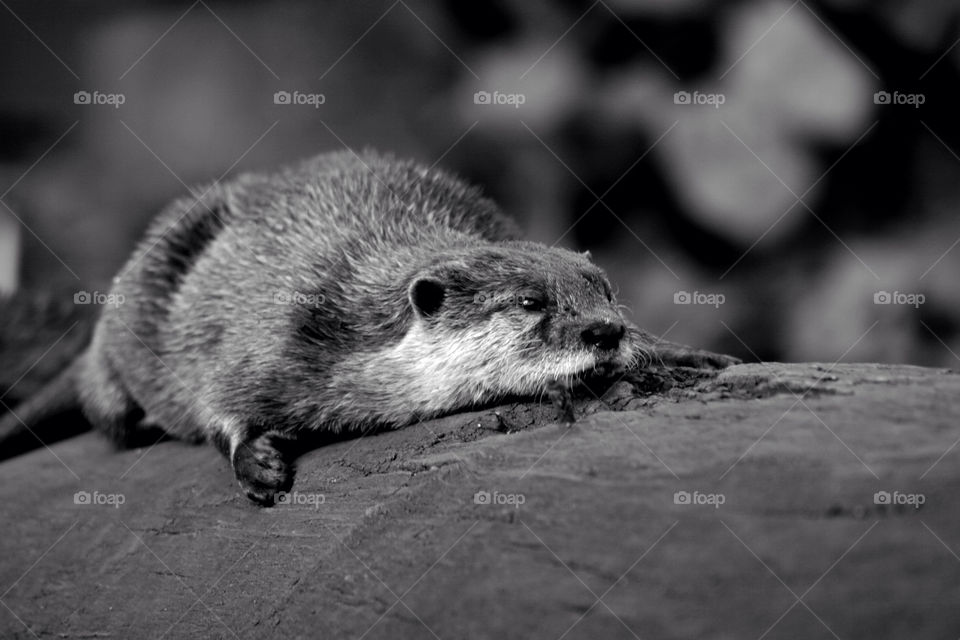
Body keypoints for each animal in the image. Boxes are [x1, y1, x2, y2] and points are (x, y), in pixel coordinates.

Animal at [0, 151, 736, 504]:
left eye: (603, 288)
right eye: (530, 302)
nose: (605, 333)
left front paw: (676, 354)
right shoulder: (281, 329)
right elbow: (222, 398)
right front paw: (257, 463)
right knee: (112, 410)